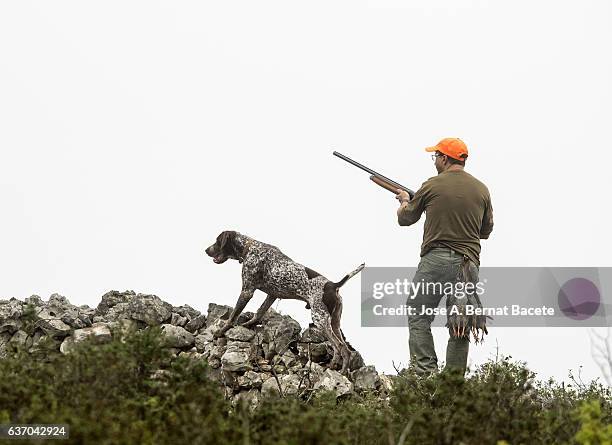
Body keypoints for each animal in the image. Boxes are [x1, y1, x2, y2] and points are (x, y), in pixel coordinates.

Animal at [206, 231, 364, 372]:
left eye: (217, 240)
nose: (206, 250)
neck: (249, 247)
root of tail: (333, 285)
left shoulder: (247, 291)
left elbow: (233, 316)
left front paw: (221, 331)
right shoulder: (271, 295)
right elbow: (259, 312)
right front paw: (248, 324)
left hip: (320, 320)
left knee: (340, 348)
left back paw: (339, 370)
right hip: (334, 322)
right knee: (343, 349)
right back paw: (338, 368)